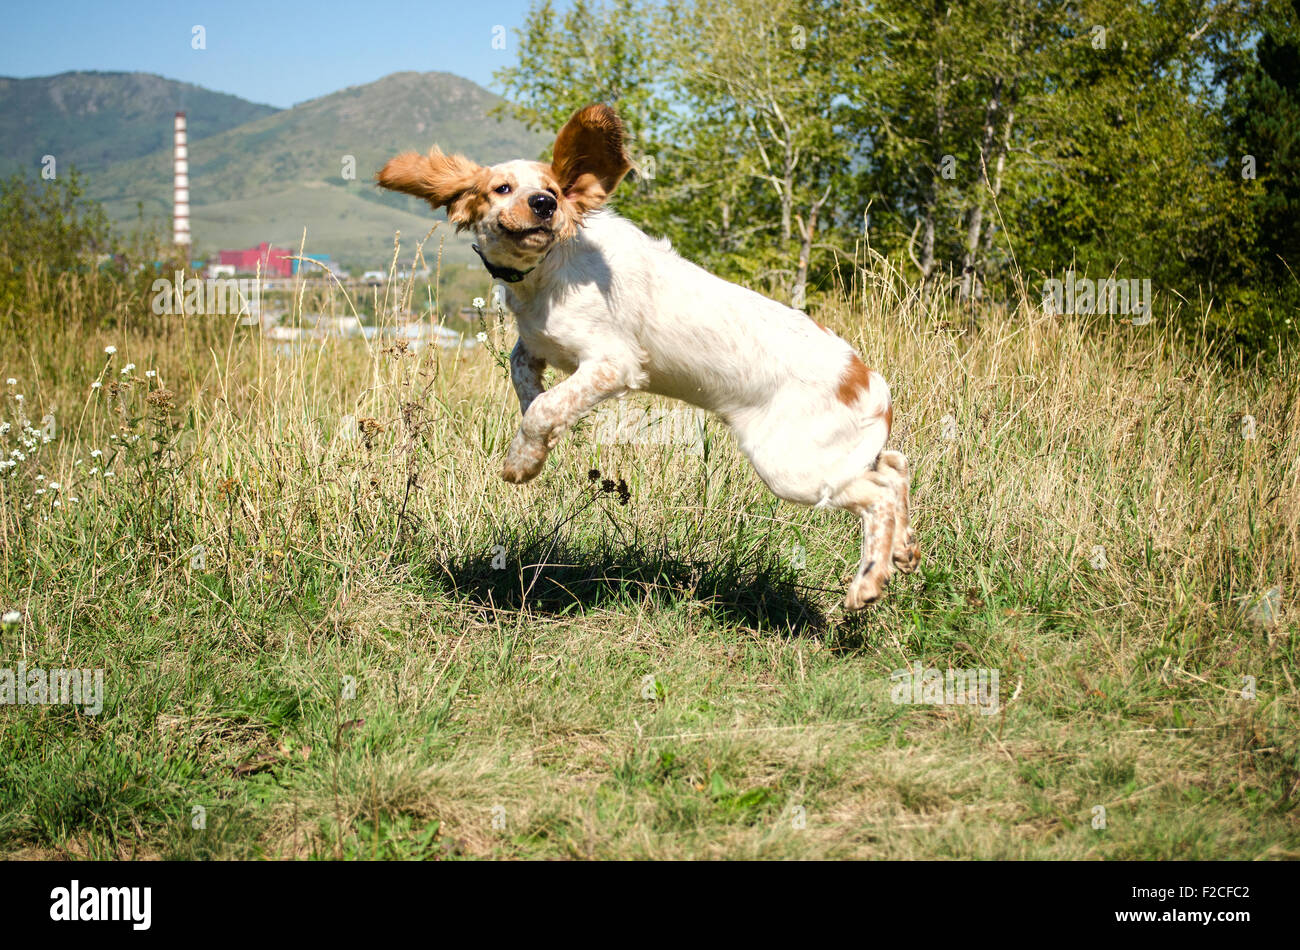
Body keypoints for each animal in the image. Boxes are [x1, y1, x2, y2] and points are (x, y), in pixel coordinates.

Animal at [379, 105, 915, 608]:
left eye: (553, 189)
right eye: (502, 187)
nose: (544, 204)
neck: (549, 270)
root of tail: (869, 380)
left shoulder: (613, 364)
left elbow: (546, 407)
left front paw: (521, 463)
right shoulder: (536, 345)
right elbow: (527, 384)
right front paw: (535, 448)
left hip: (791, 468)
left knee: (880, 493)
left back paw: (869, 582)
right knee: (896, 466)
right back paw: (904, 550)